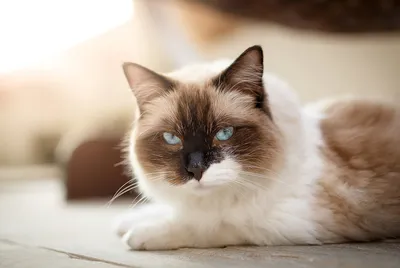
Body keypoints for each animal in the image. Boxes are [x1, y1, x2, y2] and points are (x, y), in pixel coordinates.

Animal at [113, 45, 400, 250]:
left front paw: (140, 234)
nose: (195, 170)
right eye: (172, 138)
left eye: (224, 133)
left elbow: (211, 225)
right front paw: (129, 220)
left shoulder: (292, 221)